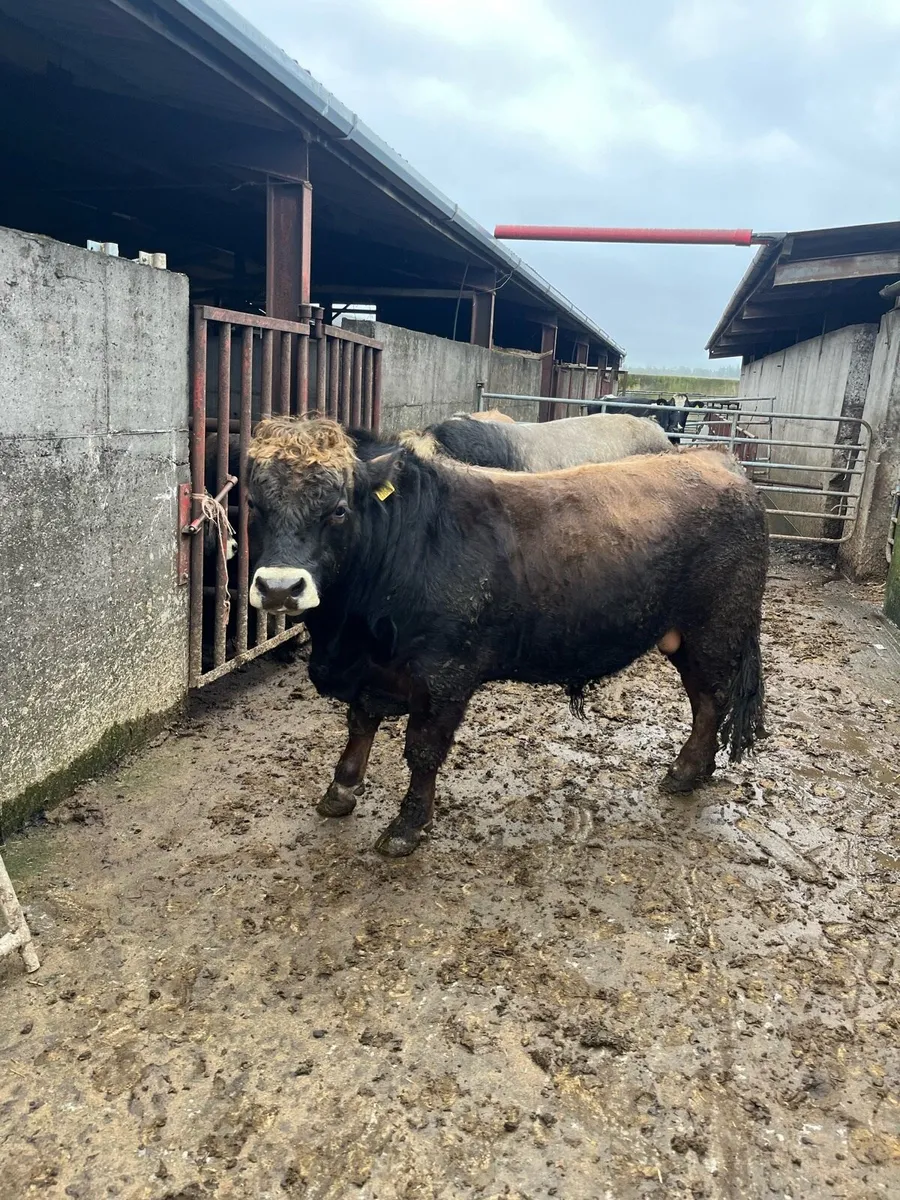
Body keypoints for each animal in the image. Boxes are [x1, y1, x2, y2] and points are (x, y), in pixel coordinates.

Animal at [246, 416, 768, 858]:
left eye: (337, 511)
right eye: (255, 506)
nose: (279, 587)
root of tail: (719, 462)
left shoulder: (444, 678)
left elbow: (422, 751)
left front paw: (407, 827)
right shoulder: (370, 666)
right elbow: (359, 725)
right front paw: (340, 791)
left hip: (716, 631)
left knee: (712, 701)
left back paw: (684, 772)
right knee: (705, 701)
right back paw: (695, 771)